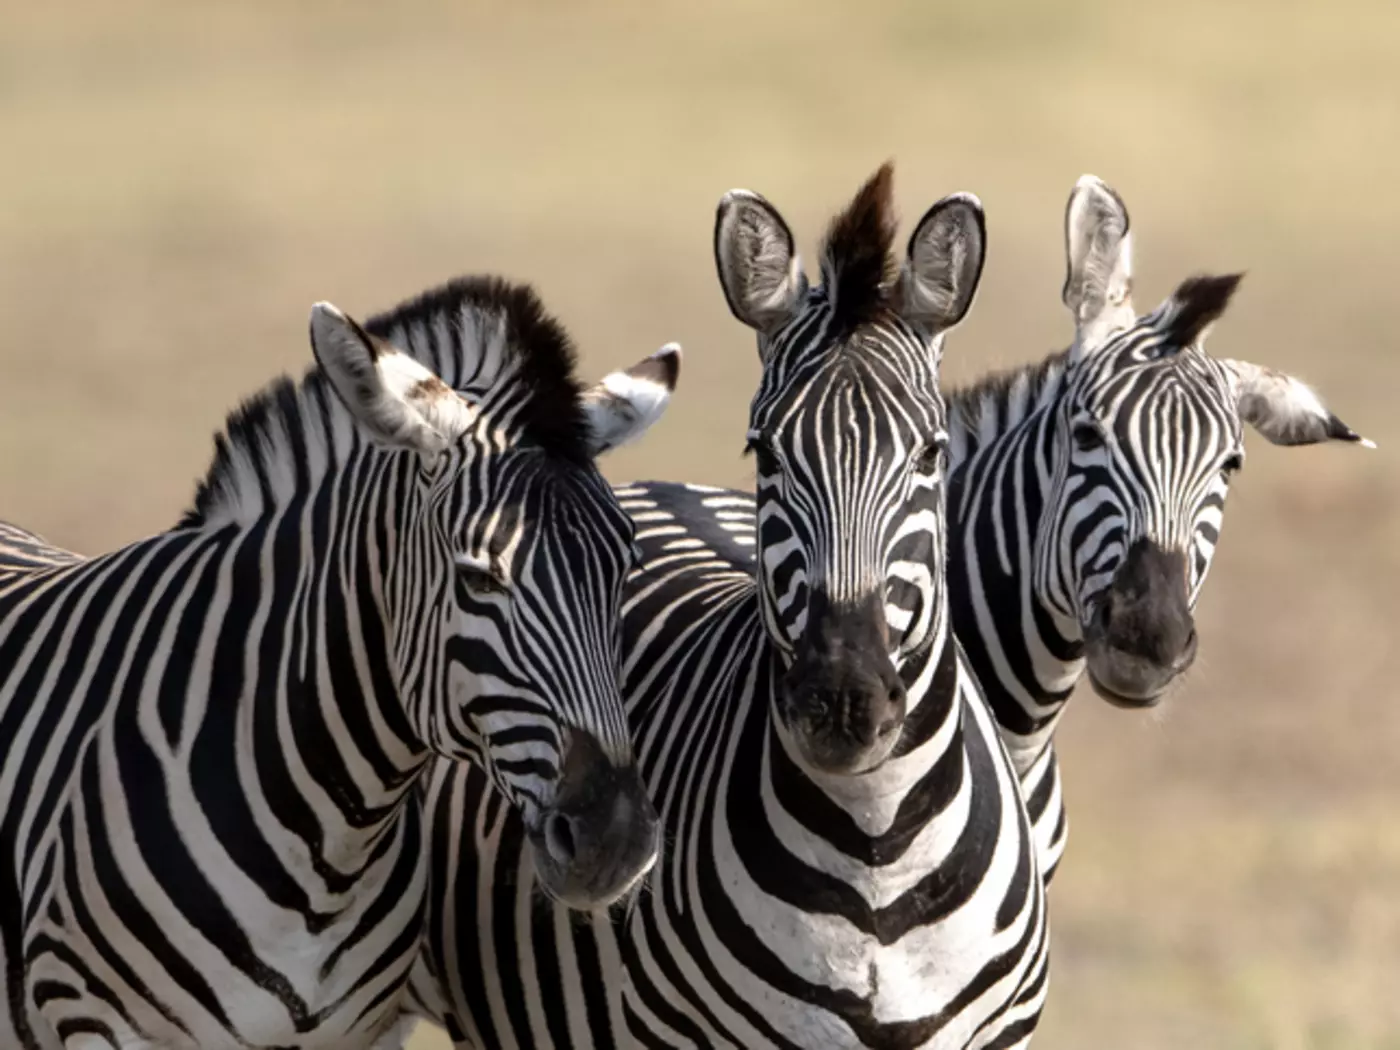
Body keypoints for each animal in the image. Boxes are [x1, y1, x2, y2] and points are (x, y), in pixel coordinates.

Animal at [0, 275, 682, 1049]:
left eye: (624, 569)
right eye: (477, 578)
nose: (615, 844)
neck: (327, 850)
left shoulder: (361, 1031)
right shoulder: (94, 1020)